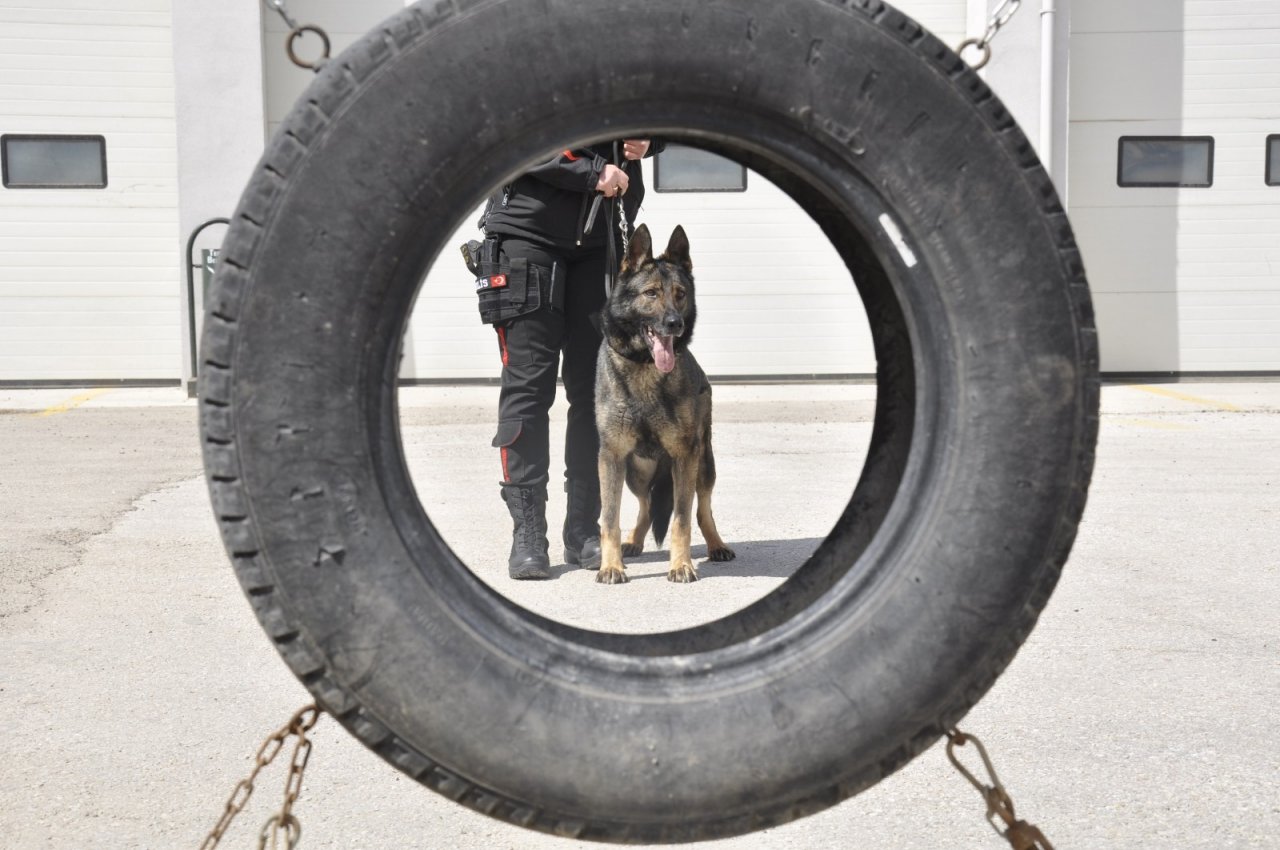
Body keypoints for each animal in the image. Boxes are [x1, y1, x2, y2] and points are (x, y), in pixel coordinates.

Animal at [593, 224, 737, 583]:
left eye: (680, 294)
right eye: (651, 294)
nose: (675, 324)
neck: (646, 366)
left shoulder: (685, 456)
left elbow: (682, 520)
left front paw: (681, 565)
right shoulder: (611, 456)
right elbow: (609, 519)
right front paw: (611, 565)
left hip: (703, 463)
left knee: (702, 509)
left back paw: (716, 545)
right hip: (636, 472)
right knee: (645, 506)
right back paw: (632, 541)